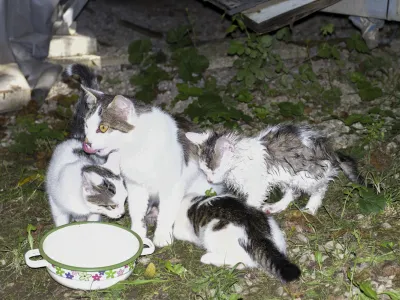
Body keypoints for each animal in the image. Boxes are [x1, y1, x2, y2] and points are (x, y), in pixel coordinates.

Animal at [173, 193, 302, 282]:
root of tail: (256, 233)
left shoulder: (179, 230)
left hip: (212, 231)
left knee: (241, 261)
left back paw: (208, 258)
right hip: (271, 224)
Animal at [186, 124, 364, 216]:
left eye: (213, 170)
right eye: (204, 170)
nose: (209, 180)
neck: (239, 162)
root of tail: (327, 148)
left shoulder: (258, 185)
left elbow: (252, 201)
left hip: (307, 174)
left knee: (320, 188)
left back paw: (311, 208)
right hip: (288, 176)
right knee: (293, 192)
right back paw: (277, 206)